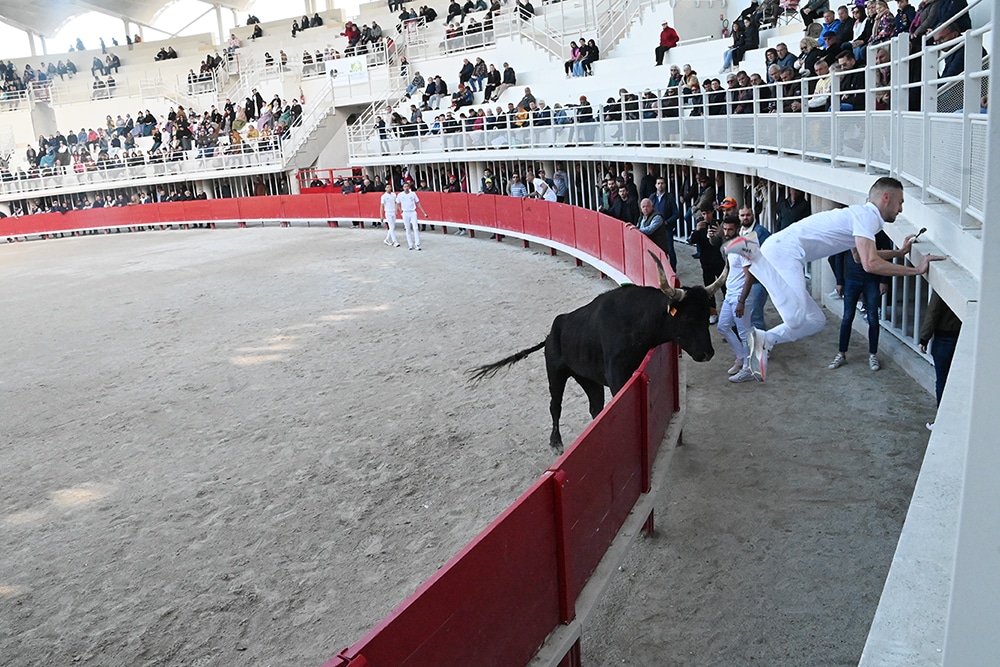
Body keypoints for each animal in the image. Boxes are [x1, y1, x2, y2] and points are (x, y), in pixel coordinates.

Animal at [472, 253, 724, 452]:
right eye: (688, 316)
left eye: (706, 315)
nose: (707, 353)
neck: (637, 322)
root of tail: (550, 335)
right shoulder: (617, 378)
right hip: (555, 372)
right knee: (555, 405)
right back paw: (556, 442)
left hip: (588, 379)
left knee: (595, 408)